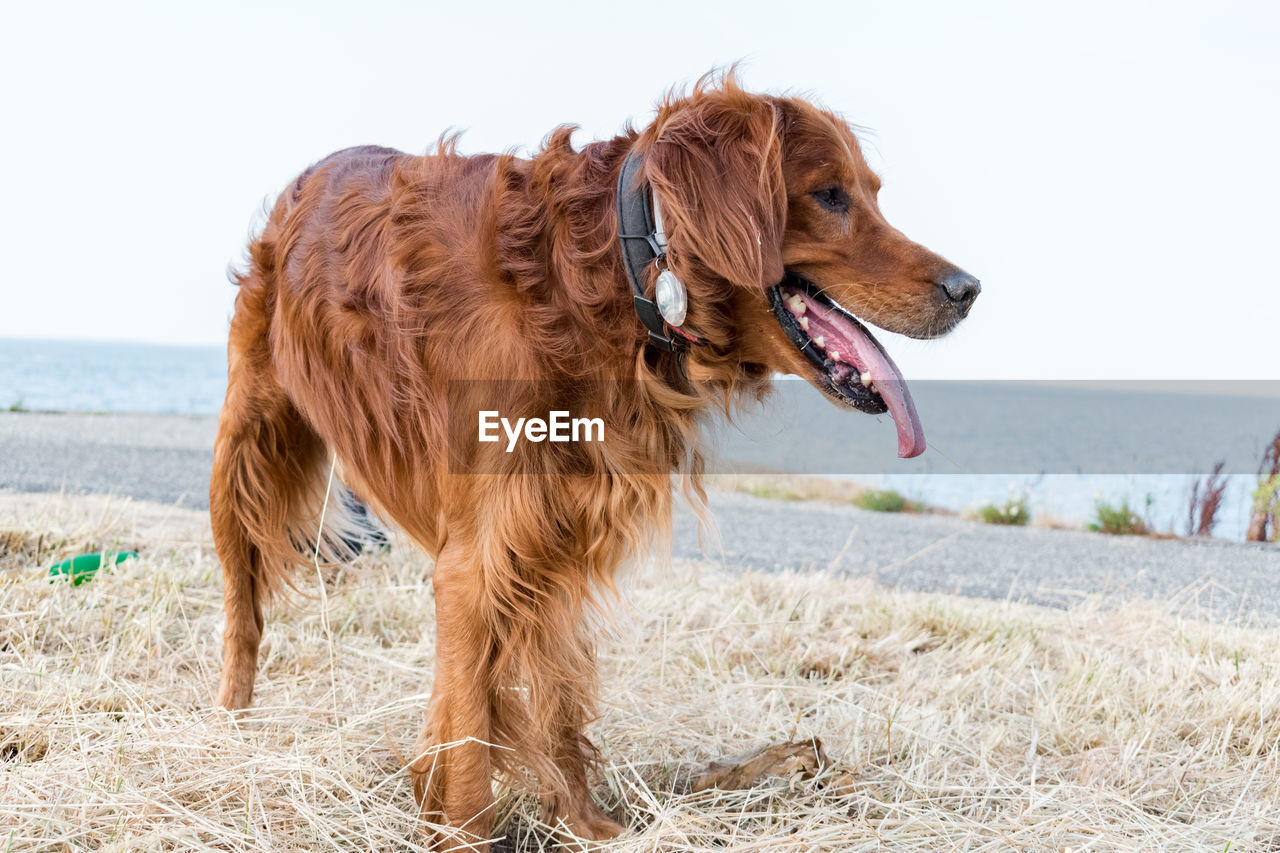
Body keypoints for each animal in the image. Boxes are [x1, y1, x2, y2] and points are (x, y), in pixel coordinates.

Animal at [209, 73, 972, 845]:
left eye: (871, 193)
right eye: (830, 195)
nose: (967, 290)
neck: (612, 274)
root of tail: (317, 170)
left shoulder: (555, 532)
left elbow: (552, 696)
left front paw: (586, 823)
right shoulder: (477, 558)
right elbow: (473, 739)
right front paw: (463, 832)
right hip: (245, 453)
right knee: (244, 613)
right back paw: (229, 731)